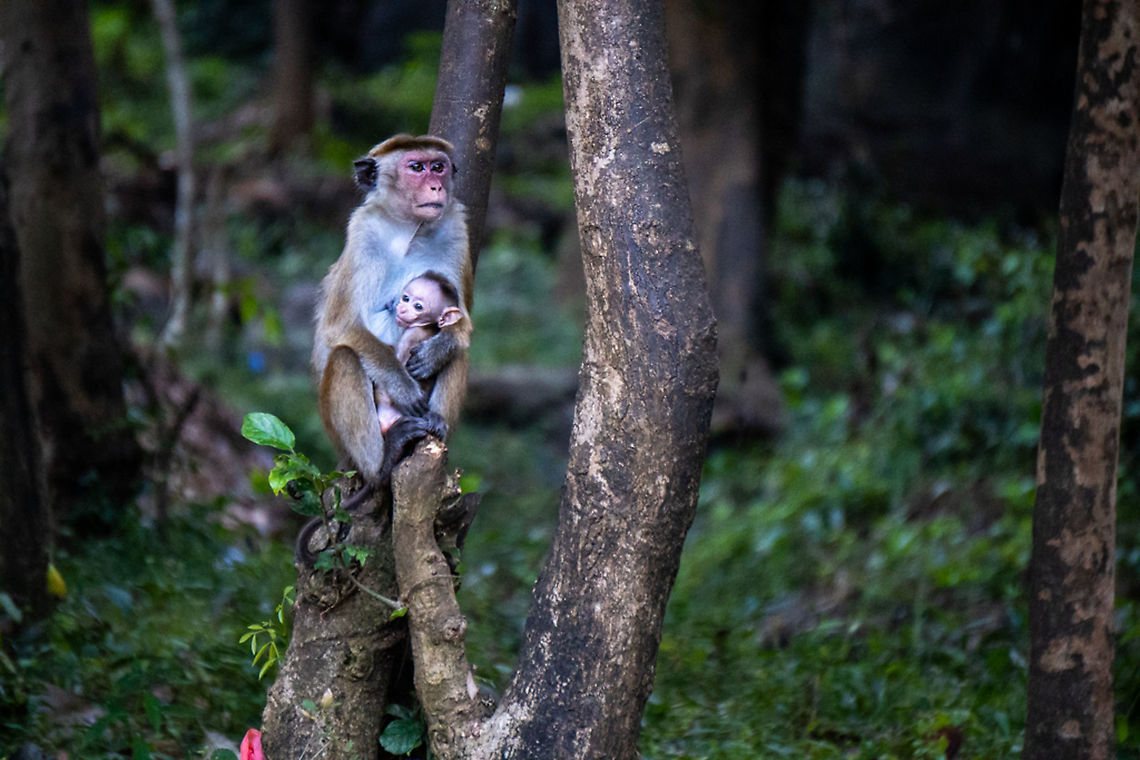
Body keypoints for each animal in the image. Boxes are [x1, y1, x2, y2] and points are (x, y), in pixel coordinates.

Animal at [300, 134, 473, 565]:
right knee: (345, 357)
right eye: (417, 167)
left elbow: (461, 325)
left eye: (438, 166)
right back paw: (382, 463)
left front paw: (439, 347)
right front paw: (402, 384)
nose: (436, 186)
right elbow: (341, 328)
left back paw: (435, 427)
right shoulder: (362, 233)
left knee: (459, 354)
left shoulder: (456, 228)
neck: (409, 230)